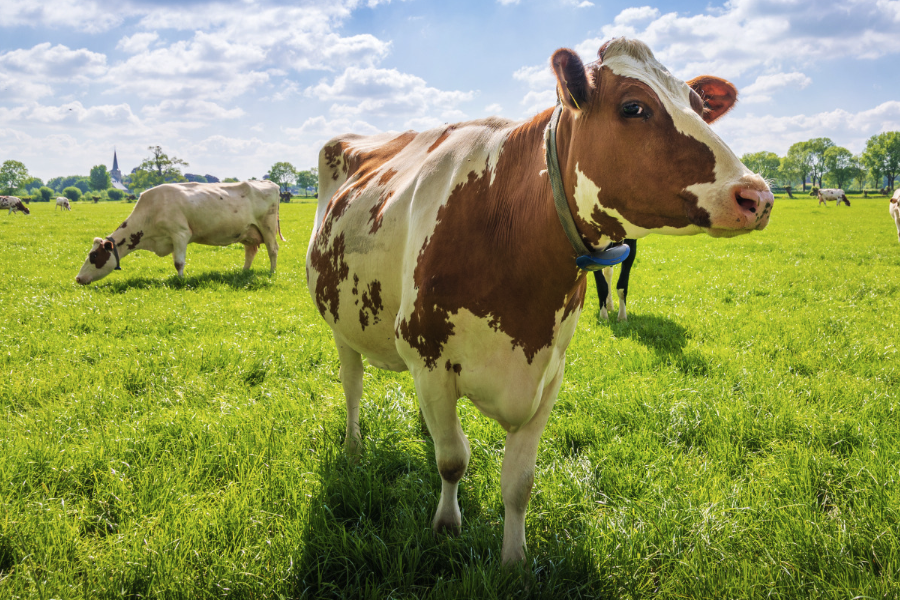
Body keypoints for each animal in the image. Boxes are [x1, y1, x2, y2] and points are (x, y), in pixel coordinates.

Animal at [76, 179, 284, 284]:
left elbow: (178, 262)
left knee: (273, 250)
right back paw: (243, 272)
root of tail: (269, 182)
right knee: (251, 251)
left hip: (267, 227)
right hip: (247, 232)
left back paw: (272, 272)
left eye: (94, 256)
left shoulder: (180, 234)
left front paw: (181, 280)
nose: (78, 278)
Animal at [308, 36, 772, 564]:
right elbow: (453, 461)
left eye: (697, 105)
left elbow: (519, 483)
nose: (757, 195)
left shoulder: (549, 371)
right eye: (634, 107)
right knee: (352, 386)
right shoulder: (428, 359)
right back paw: (353, 446)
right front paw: (447, 525)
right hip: (340, 325)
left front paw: (514, 560)